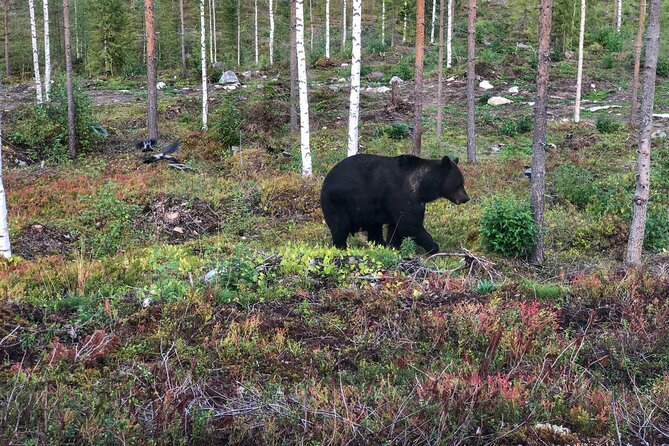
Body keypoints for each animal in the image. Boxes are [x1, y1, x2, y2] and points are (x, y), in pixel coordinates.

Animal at [320, 153, 470, 254]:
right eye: (459, 183)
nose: (466, 198)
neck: (422, 186)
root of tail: (326, 179)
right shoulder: (403, 196)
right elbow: (410, 225)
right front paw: (433, 246)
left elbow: (397, 227)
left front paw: (393, 246)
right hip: (338, 202)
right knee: (340, 227)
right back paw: (340, 247)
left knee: (374, 228)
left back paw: (378, 244)